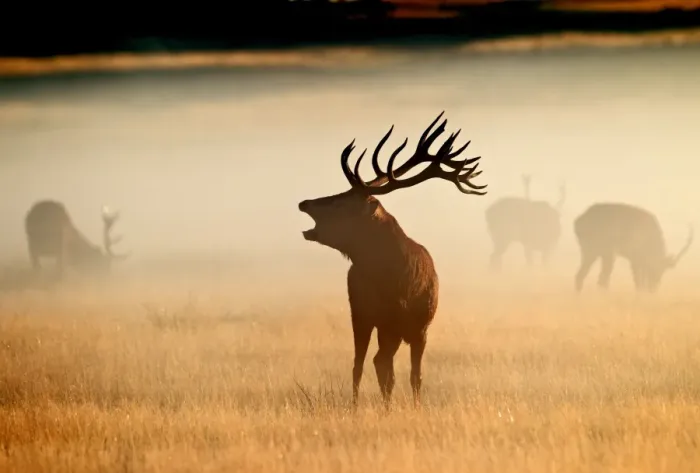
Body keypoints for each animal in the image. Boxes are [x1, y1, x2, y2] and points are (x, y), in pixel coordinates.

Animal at [298, 112, 487, 409]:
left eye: (341, 202)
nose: (304, 203)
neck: (400, 284)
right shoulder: (388, 323)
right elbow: (388, 371)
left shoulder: (420, 328)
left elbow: (415, 376)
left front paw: (415, 407)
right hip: (362, 314)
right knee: (363, 363)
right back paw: (357, 406)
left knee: (374, 363)